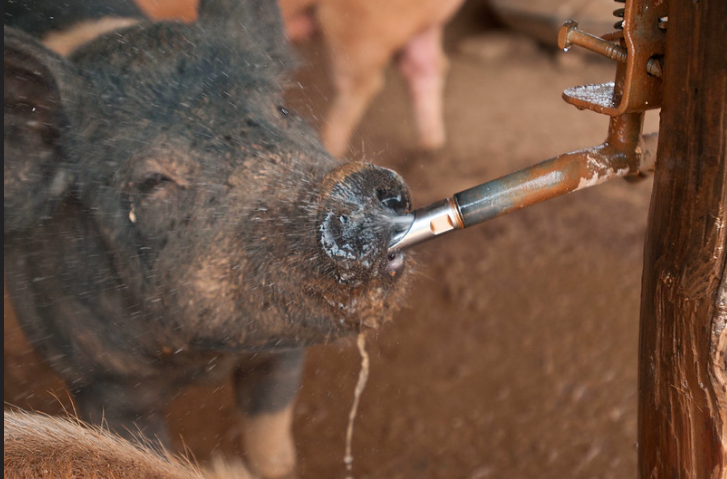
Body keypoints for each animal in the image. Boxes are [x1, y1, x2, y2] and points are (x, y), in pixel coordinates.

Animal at [2, 1, 412, 478]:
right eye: (152, 181)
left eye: (281, 109)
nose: (357, 185)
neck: (202, 359)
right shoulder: (99, 387)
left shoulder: (283, 350)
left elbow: (272, 449)